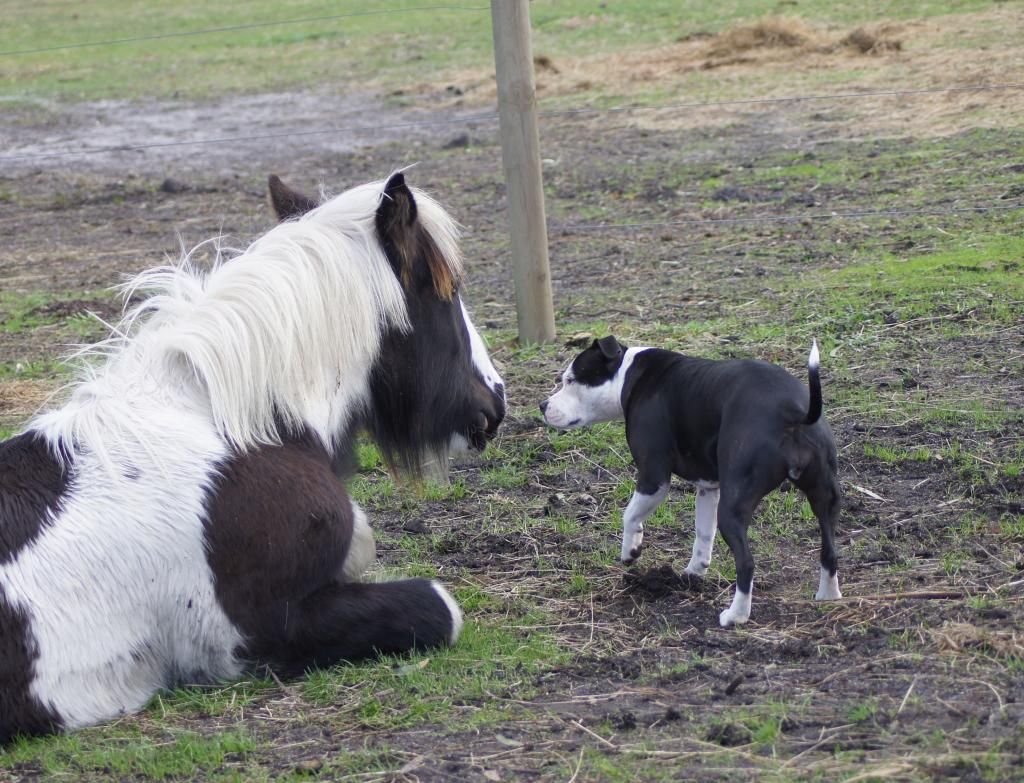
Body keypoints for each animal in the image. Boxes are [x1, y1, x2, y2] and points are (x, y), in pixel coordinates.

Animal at [540, 333, 843, 626]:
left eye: (571, 379)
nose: (542, 405)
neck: (629, 373)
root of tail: (794, 412)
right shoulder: (708, 487)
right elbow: (703, 533)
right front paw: (692, 574)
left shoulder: (653, 476)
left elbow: (630, 514)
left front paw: (631, 550)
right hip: (824, 497)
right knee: (829, 551)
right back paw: (828, 596)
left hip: (734, 507)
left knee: (746, 563)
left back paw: (735, 616)